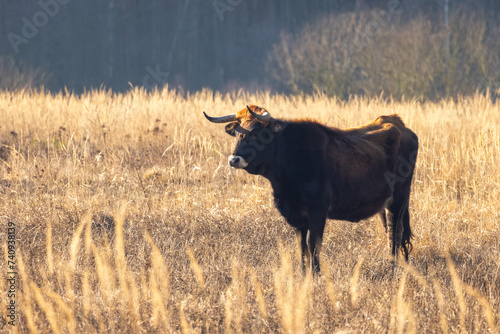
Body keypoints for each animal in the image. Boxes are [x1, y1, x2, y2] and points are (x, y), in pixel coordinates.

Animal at [203, 105, 418, 272]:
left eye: (258, 132)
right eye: (238, 132)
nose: (234, 159)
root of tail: (397, 123)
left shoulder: (318, 211)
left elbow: (313, 244)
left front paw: (316, 275)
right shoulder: (298, 217)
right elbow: (301, 247)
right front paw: (303, 274)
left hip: (399, 199)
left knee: (395, 232)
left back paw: (393, 268)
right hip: (385, 204)